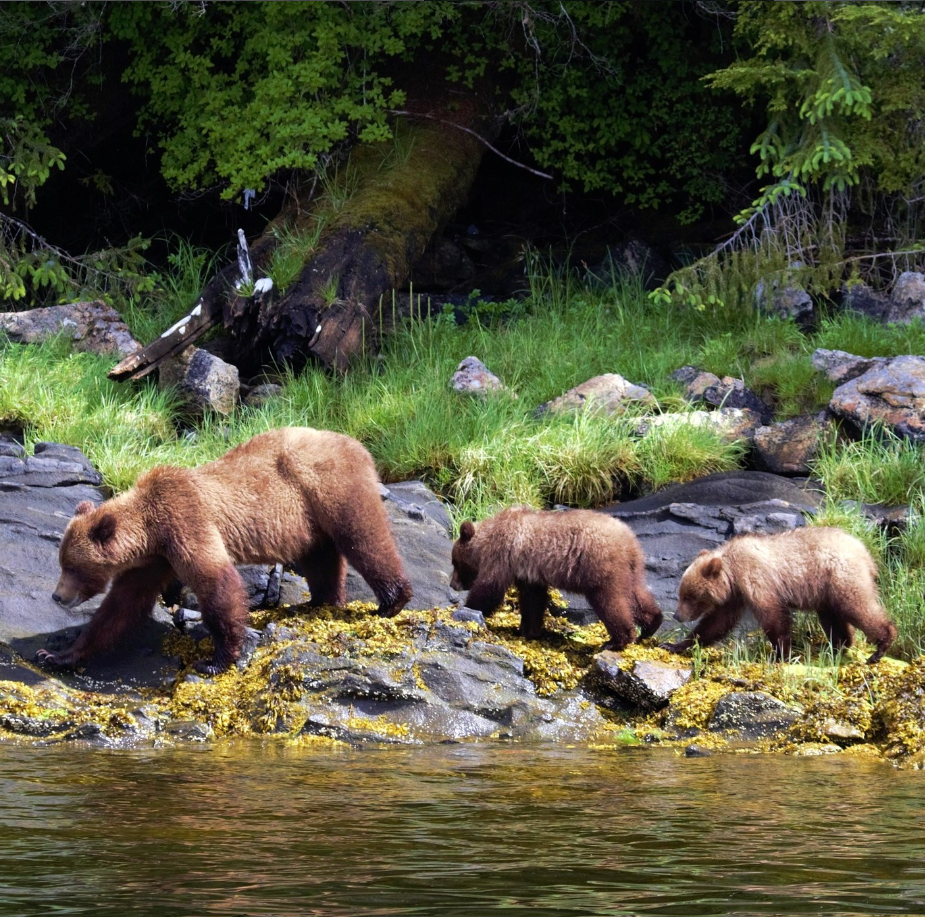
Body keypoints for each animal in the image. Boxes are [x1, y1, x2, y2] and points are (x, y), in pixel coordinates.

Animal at [41, 427, 413, 675]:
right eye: (62, 563)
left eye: (72, 567)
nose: (58, 596)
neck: (150, 529)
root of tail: (355, 443)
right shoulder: (154, 560)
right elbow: (121, 605)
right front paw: (59, 655)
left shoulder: (185, 522)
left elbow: (216, 582)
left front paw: (217, 659)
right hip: (305, 518)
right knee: (320, 556)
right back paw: (321, 600)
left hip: (329, 483)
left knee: (362, 536)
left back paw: (392, 600)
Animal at [449, 506, 663, 647]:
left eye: (454, 562)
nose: (452, 584)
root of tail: (628, 539)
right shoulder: (527, 572)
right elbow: (533, 599)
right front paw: (529, 630)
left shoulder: (502, 555)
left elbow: (489, 588)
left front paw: (467, 608)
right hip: (631, 569)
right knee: (636, 595)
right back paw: (652, 623)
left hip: (600, 567)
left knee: (610, 602)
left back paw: (619, 640)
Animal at [661, 526, 896, 664]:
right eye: (682, 594)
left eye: (689, 596)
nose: (677, 616)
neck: (732, 573)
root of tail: (865, 552)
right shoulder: (734, 596)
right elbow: (716, 623)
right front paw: (674, 645)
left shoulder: (755, 578)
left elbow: (773, 614)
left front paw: (780, 654)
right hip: (826, 592)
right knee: (833, 618)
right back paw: (836, 646)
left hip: (841, 577)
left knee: (858, 607)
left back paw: (880, 647)